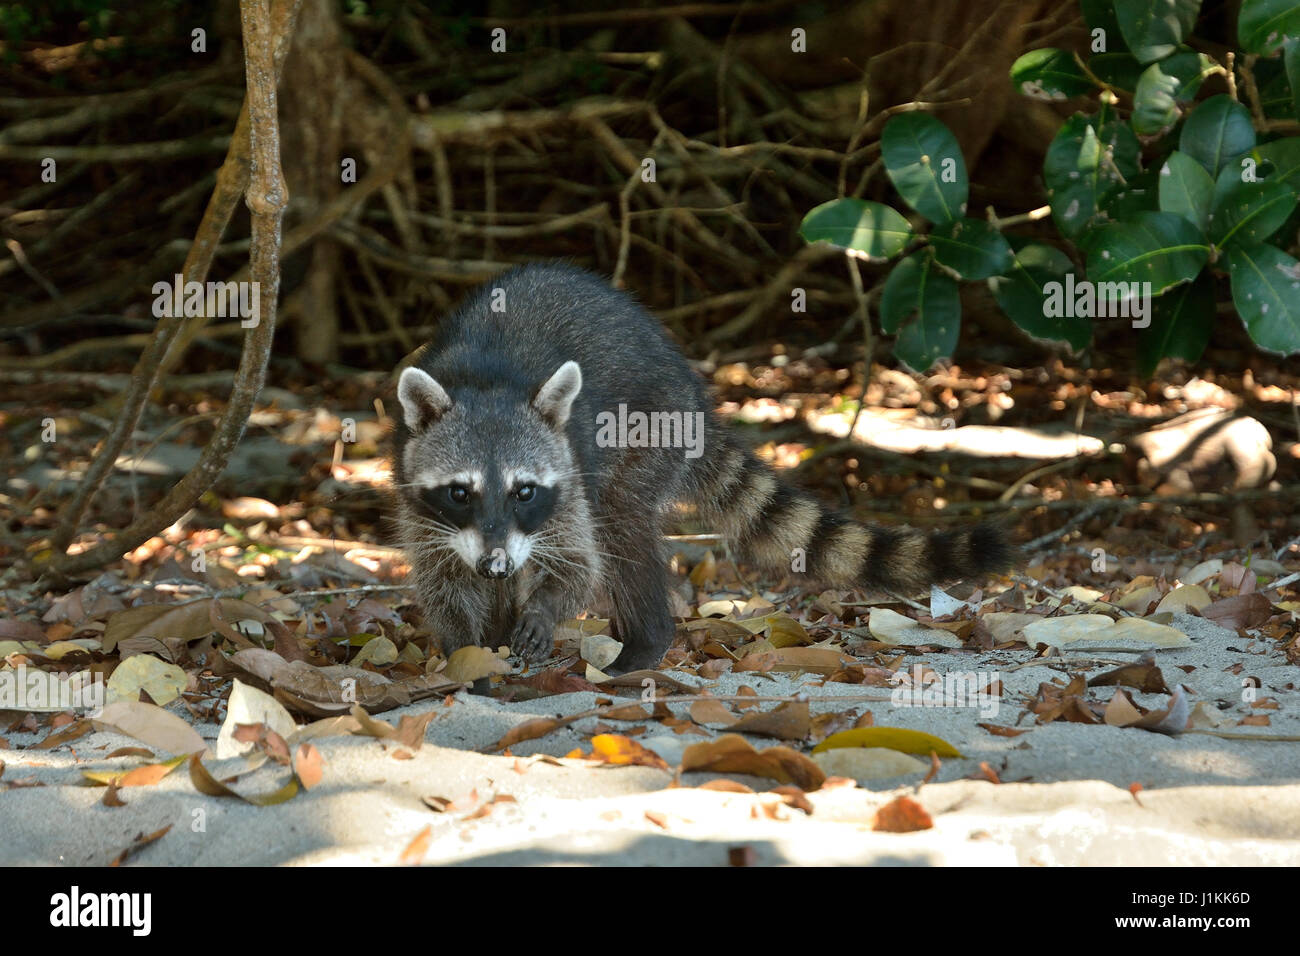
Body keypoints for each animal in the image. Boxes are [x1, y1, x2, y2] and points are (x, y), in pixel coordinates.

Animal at [395, 261, 1013, 671]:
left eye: (524, 491)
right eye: (460, 492)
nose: (494, 566)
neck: (487, 385)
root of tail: (691, 389)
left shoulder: (565, 480)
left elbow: (581, 563)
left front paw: (543, 609)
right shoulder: (421, 496)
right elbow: (441, 574)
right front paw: (468, 651)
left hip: (646, 430)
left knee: (621, 527)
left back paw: (644, 643)